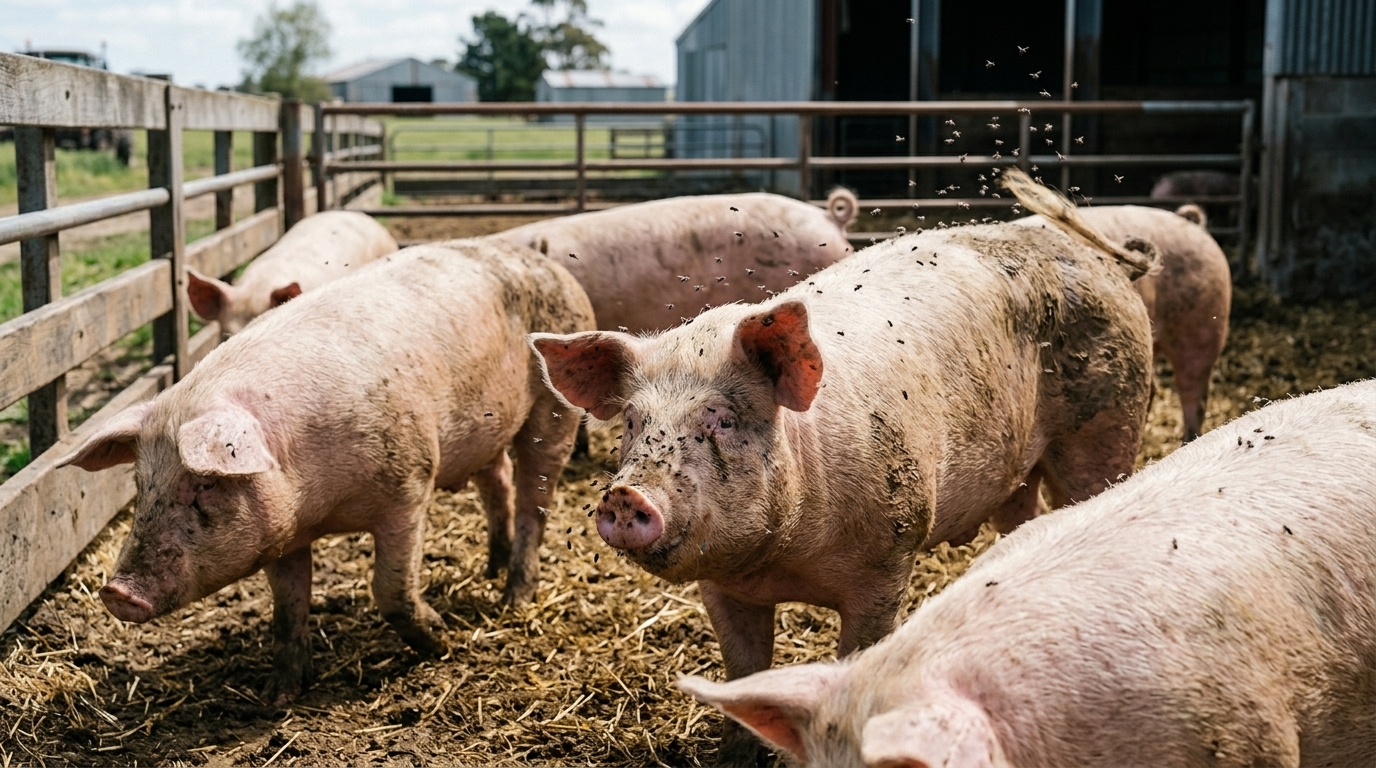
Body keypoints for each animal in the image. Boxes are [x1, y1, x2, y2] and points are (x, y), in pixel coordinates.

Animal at [58, 239, 594, 702]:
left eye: (205, 483)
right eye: (141, 484)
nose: (117, 592)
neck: (320, 505)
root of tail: (548, 263)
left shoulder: (410, 484)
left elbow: (391, 590)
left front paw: (442, 640)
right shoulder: (281, 533)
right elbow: (287, 606)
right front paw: (278, 696)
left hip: (553, 412)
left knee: (534, 498)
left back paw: (514, 597)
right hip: (487, 430)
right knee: (497, 482)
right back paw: (492, 566)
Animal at [530, 170, 1156, 762]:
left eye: (723, 419)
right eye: (634, 422)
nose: (625, 496)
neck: (785, 560)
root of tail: (1099, 260)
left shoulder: (888, 564)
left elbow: (858, 652)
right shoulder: (722, 587)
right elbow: (743, 671)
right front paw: (735, 755)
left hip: (1108, 425)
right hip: (1018, 473)